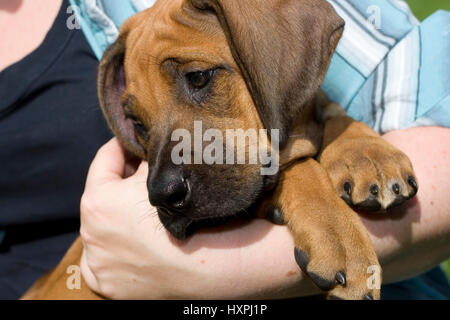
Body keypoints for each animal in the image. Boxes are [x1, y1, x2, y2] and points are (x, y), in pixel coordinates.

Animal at [22, 0, 418, 300]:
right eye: (137, 123)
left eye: (199, 77)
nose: (163, 196)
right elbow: (299, 166)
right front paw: (338, 236)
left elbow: (330, 111)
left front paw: (368, 154)